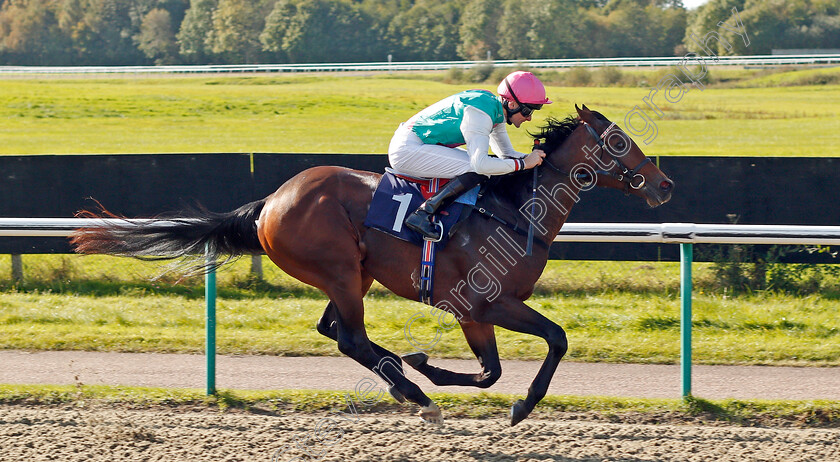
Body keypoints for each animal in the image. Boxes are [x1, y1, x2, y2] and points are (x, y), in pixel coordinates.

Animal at [74, 104, 676, 426]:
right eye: (618, 140)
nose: (666, 184)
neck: (510, 210)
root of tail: (270, 201)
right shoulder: (482, 303)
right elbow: (552, 341)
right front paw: (520, 407)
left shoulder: (477, 312)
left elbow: (490, 371)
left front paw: (427, 365)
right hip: (340, 270)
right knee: (350, 337)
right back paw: (414, 393)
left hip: (351, 274)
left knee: (335, 330)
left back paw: (403, 380)